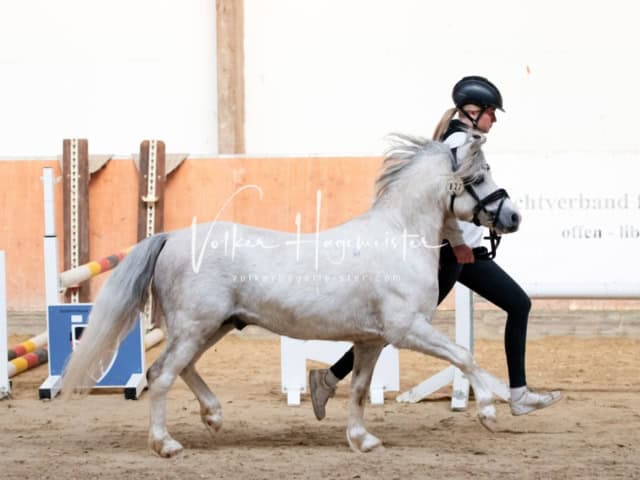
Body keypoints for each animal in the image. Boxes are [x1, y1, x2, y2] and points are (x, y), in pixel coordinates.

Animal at [60, 132, 520, 458]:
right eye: (479, 177)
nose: (513, 217)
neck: (400, 238)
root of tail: (171, 236)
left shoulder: (370, 341)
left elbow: (358, 389)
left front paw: (362, 440)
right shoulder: (408, 329)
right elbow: (464, 356)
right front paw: (489, 413)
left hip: (214, 326)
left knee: (182, 368)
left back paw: (214, 416)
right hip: (195, 327)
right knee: (161, 375)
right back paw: (166, 444)